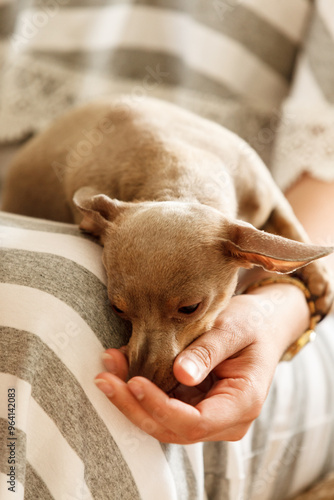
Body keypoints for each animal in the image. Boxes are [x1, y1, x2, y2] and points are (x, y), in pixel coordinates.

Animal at [1, 97, 332, 392]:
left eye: (190, 308)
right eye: (118, 308)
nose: (139, 377)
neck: (179, 179)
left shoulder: (270, 197)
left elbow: (291, 229)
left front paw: (319, 283)